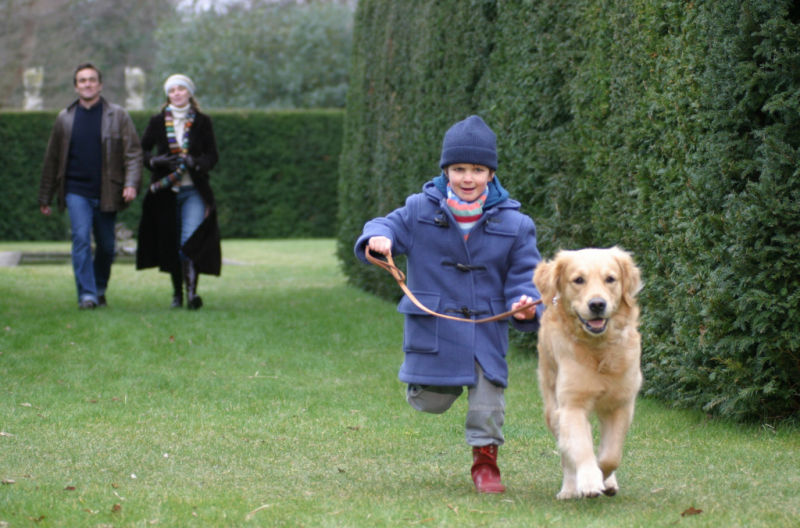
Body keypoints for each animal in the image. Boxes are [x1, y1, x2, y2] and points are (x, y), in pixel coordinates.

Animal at [532, 248, 644, 500]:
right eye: (578, 280)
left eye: (610, 279)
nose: (597, 304)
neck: (598, 349)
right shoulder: (571, 406)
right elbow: (581, 449)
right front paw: (590, 481)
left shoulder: (621, 404)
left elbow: (611, 455)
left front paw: (603, 475)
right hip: (551, 408)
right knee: (566, 455)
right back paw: (569, 489)